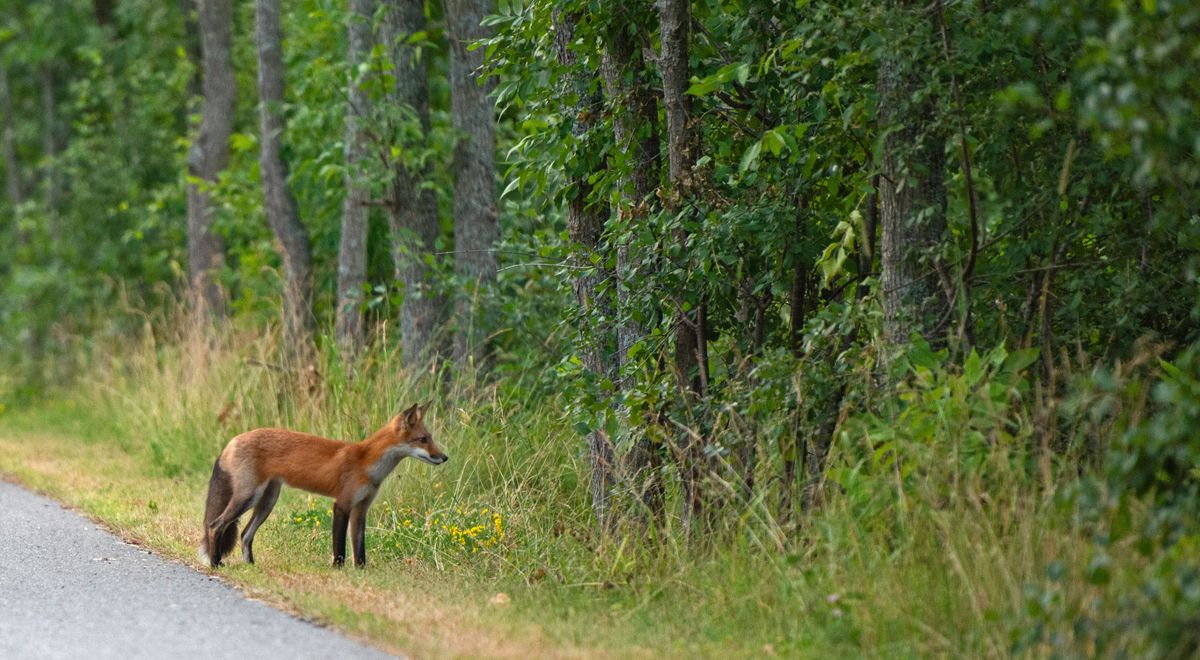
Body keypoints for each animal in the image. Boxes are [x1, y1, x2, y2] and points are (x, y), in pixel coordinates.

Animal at [199, 403, 448, 568]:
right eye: (423, 440)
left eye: (430, 438)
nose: (444, 457)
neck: (367, 464)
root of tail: (233, 440)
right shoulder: (342, 504)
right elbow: (340, 547)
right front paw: (338, 569)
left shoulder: (361, 509)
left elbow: (360, 550)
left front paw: (361, 572)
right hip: (248, 497)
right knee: (215, 525)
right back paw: (216, 563)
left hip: (267, 501)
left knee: (244, 534)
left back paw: (250, 565)